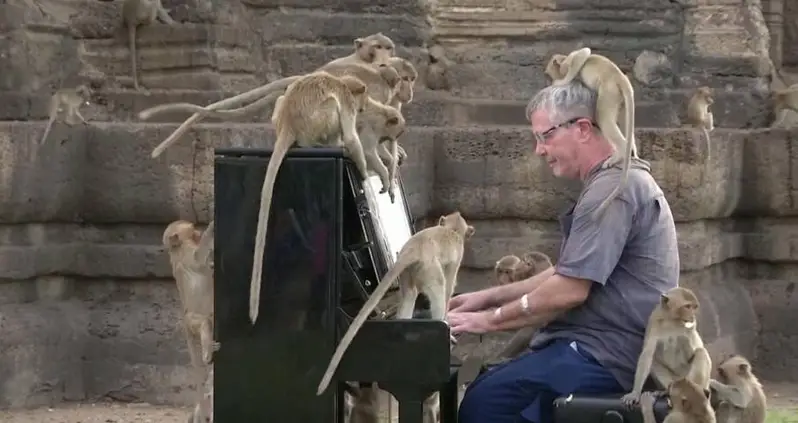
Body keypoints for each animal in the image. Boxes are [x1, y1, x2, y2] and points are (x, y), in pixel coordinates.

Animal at [247, 72, 372, 324]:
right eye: (362, 99)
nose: (364, 107)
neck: (342, 82)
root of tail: (287, 123)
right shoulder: (347, 102)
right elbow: (351, 137)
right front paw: (364, 175)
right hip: (316, 123)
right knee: (332, 108)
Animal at [318, 214, 476, 396]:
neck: (452, 229)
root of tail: (414, 248)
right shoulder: (455, 259)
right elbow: (449, 289)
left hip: (409, 272)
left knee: (410, 295)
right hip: (429, 268)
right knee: (438, 290)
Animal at [544, 47, 636, 222]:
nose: (548, 77)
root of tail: (620, 78)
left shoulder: (569, 62)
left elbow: (583, 54)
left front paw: (561, 82)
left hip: (609, 92)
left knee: (603, 117)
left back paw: (619, 154)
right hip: (619, 98)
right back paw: (632, 151)